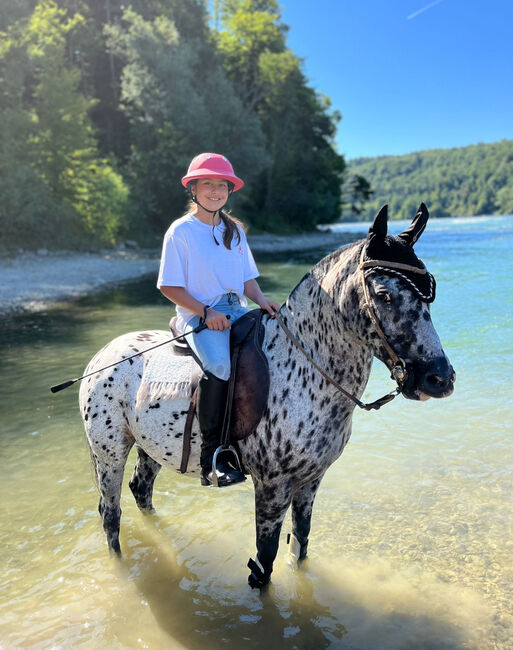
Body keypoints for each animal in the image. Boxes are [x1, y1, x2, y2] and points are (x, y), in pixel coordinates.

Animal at [80, 204, 456, 588]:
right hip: (108, 453)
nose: (439, 378)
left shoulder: (311, 480)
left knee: (141, 490)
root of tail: (102, 355)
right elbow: (265, 560)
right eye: (384, 294)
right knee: (110, 514)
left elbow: (300, 541)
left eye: (429, 292)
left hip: (150, 448)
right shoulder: (273, 486)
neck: (302, 368)